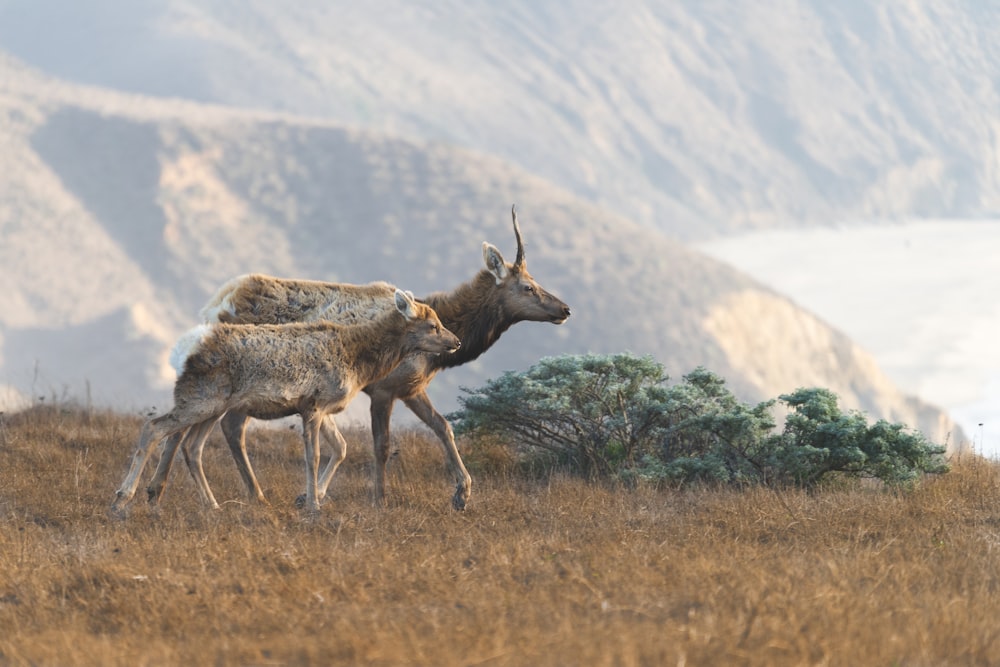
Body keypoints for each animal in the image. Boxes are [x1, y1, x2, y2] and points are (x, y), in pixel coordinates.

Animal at [113, 290, 460, 516]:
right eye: (432, 325)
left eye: (440, 322)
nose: (455, 342)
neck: (358, 360)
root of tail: (183, 349)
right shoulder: (315, 404)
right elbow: (314, 456)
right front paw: (313, 505)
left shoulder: (318, 408)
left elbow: (340, 447)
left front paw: (311, 497)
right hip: (200, 400)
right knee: (154, 427)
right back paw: (121, 498)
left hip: (213, 406)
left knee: (191, 446)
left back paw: (212, 505)